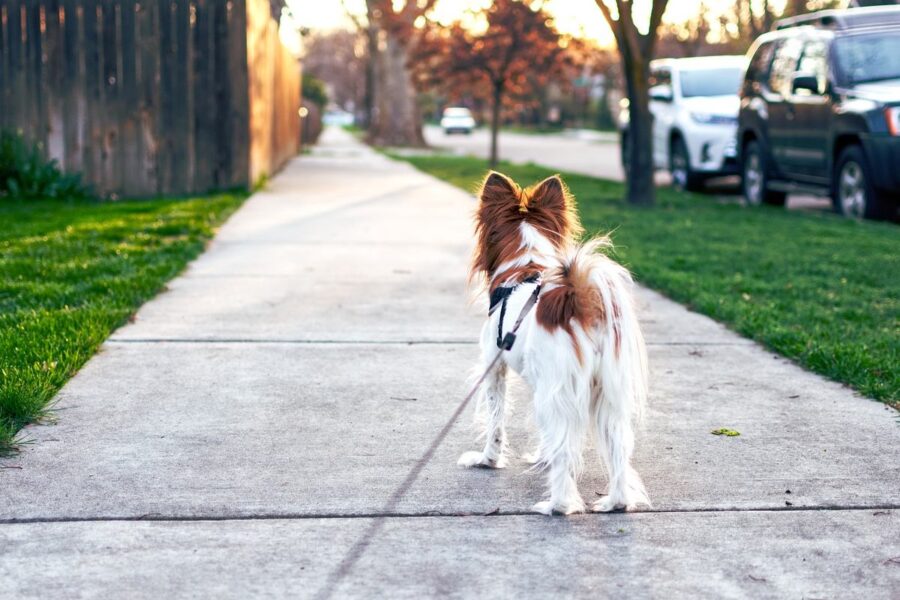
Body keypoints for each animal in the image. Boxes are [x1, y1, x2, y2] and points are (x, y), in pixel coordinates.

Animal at [460, 170, 652, 516]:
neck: (525, 265)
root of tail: (581, 300)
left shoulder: (495, 369)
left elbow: (496, 422)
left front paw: (487, 460)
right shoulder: (543, 383)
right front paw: (541, 456)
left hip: (560, 389)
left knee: (566, 451)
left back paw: (557, 505)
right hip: (607, 393)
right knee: (618, 447)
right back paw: (616, 502)